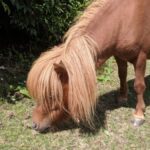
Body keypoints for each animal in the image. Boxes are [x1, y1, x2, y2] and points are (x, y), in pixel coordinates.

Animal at [27, 0, 150, 132]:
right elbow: (122, 75)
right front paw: (122, 97)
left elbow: (139, 86)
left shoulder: (140, 58)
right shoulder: (119, 56)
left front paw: (139, 114)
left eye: (52, 95)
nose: (35, 124)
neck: (123, 20)